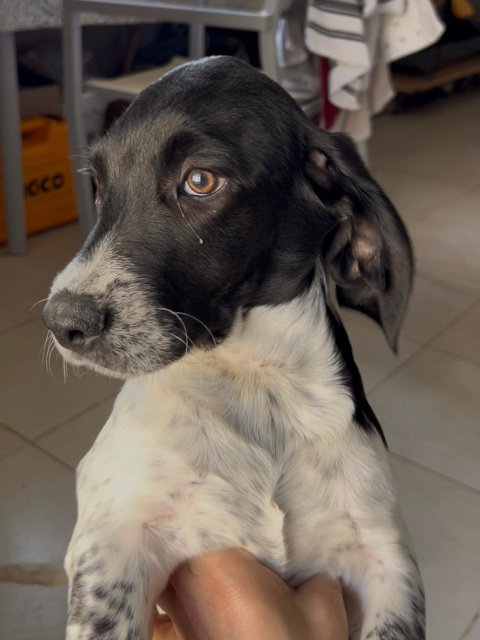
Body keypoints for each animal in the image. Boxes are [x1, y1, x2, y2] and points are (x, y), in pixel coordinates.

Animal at [43, 56, 424, 640]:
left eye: (200, 180)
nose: (63, 322)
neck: (253, 379)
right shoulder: (110, 539)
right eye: (99, 184)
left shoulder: (386, 560)